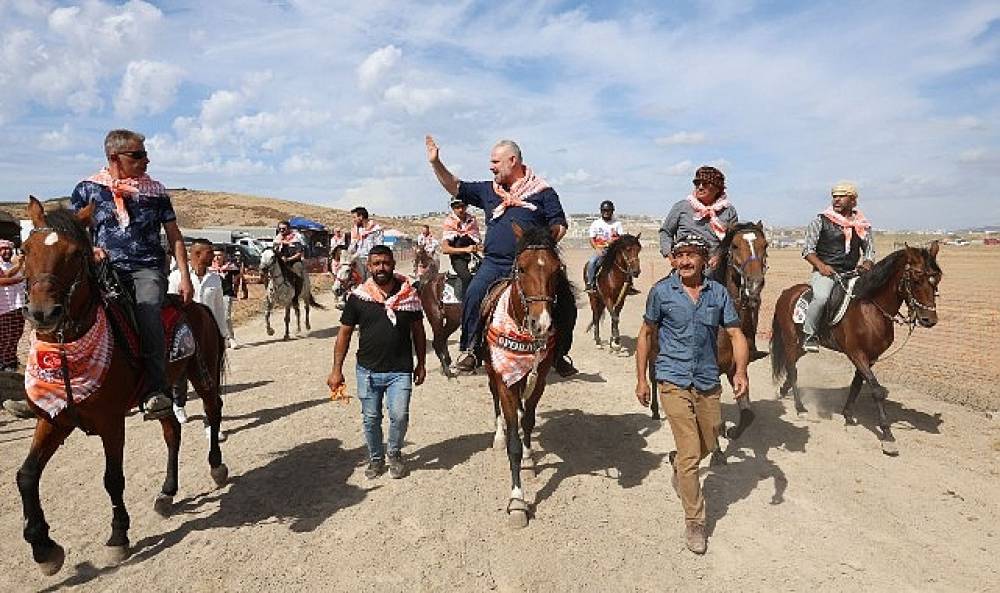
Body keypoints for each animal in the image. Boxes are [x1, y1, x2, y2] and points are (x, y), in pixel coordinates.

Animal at [15, 198, 227, 572]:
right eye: (25, 250)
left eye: (75, 254)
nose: (42, 313)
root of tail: (196, 304)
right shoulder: (54, 419)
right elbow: (26, 476)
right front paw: (44, 549)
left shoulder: (111, 422)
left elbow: (112, 478)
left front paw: (118, 535)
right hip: (165, 388)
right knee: (172, 431)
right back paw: (167, 491)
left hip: (203, 377)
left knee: (213, 412)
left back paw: (216, 466)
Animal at [412, 246, 462, 376]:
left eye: (418, 255)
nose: (415, 267)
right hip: (438, 318)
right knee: (438, 341)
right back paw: (447, 369)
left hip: (450, 320)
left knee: (442, 338)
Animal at [480, 223, 560, 528]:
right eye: (522, 269)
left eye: (557, 270)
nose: (542, 323)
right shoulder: (505, 380)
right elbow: (513, 440)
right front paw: (517, 501)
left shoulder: (540, 378)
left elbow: (528, 420)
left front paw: (527, 456)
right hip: (492, 372)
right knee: (495, 403)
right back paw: (498, 436)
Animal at [768, 240, 940, 454]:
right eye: (916, 278)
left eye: (937, 279)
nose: (929, 319)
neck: (871, 309)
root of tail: (787, 293)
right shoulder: (857, 354)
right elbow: (876, 390)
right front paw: (887, 435)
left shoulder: (871, 357)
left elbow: (857, 385)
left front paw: (848, 415)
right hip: (791, 339)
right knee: (792, 369)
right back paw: (800, 408)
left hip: (803, 344)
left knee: (792, 364)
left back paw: (784, 391)